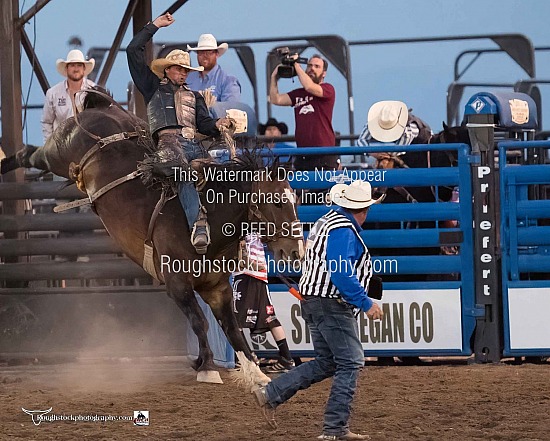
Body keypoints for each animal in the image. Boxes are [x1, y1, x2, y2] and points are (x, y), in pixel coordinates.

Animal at [0, 90, 304, 384]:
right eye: (278, 202)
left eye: (295, 200)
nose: (296, 251)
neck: (208, 224)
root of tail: (99, 107)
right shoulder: (177, 285)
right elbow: (201, 323)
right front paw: (207, 367)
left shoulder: (217, 289)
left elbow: (232, 329)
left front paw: (255, 372)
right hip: (57, 152)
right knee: (28, 152)